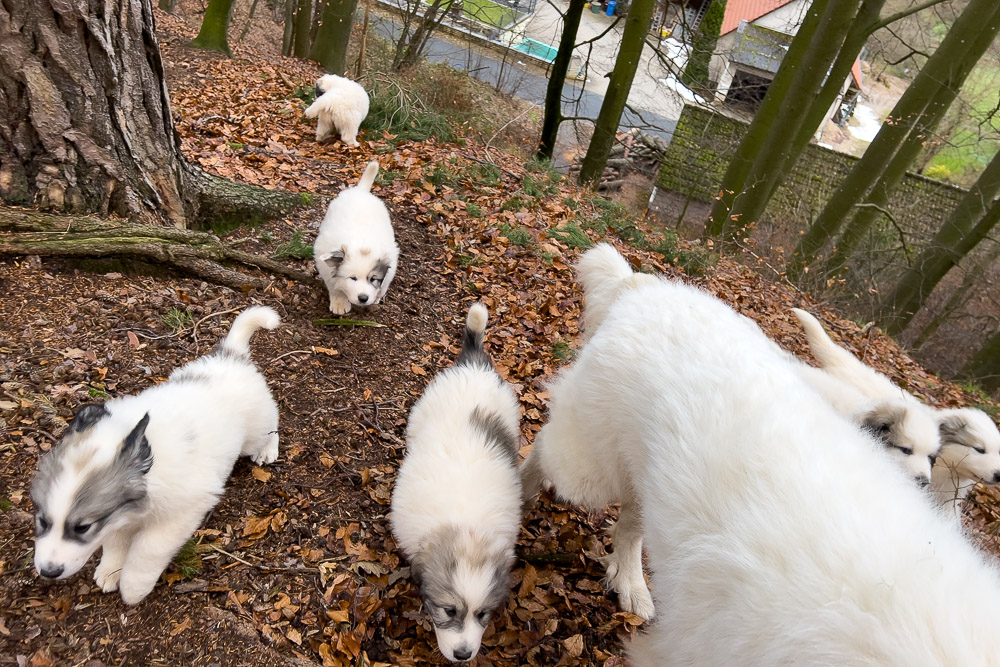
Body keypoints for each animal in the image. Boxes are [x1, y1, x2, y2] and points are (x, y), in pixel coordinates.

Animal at [31, 308, 282, 604]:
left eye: (82, 527)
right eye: (42, 521)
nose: (48, 572)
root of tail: (231, 355)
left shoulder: (180, 514)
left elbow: (147, 549)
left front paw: (133, 586)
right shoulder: (118, 518)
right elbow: (115, 539)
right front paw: (111, 570)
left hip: (255, 433)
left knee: (272, 423)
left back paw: (268, 450)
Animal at [316, 163, 402, 318]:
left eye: (373, 278)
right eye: (353, 278)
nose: (363, 298)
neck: (363, 243)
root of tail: (361, 191)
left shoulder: (391, 261)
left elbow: (384, 284)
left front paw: (376, 297)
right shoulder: (324, 261)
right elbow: (334, 285)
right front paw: (340, 303)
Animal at [524, 245, 1000, 664]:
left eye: (934, 458)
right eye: (905, 449)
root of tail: (647, 287)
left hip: (646, 482)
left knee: (626, 531)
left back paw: (631, 585)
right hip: (587, 470)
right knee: (542, 448)